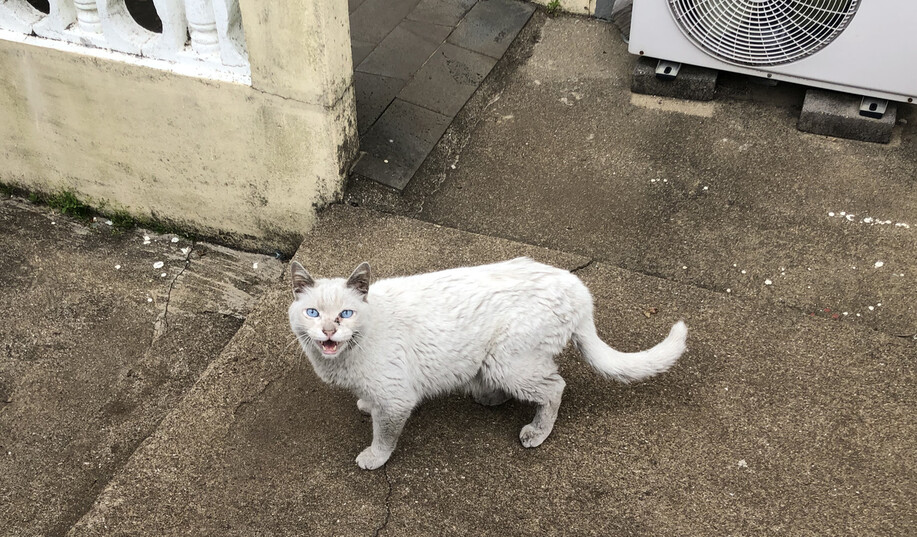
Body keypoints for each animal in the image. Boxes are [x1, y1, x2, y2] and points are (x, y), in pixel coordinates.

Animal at [290, 256, 684, 468]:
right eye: (312, 313)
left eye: (345, 314)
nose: (328, 331)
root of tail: (579, 289)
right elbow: (369, 404)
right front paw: (364, 405)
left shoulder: (397, 399)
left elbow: (385, 436)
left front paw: (374, 457)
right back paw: (489, 396)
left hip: (506, 360)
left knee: (555, 386)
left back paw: (536, 432)